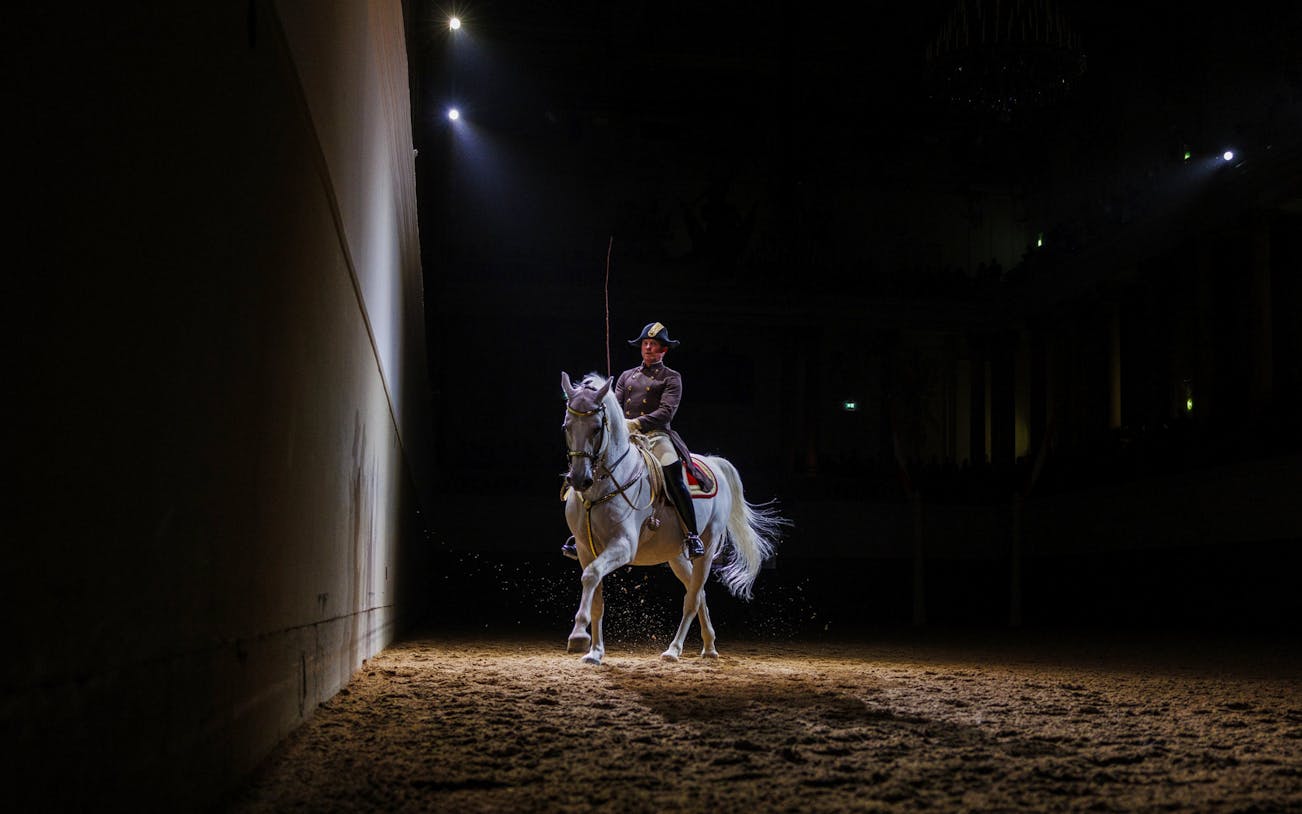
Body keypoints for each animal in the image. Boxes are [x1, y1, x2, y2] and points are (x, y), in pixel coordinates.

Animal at [560, 371, 789, 665]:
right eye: (567, 426)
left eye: (597, 428)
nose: (578, 479)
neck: (602, 487)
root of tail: (714, 463)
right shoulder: (585, 548)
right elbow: (596, 595)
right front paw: (595, 652)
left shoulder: (623, 545)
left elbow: (590, 576)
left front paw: (579, 635)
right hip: (677, 555)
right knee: (698, 592)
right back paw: (709, 646)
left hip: (707, 546)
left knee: (692, 598)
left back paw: (674, 649)